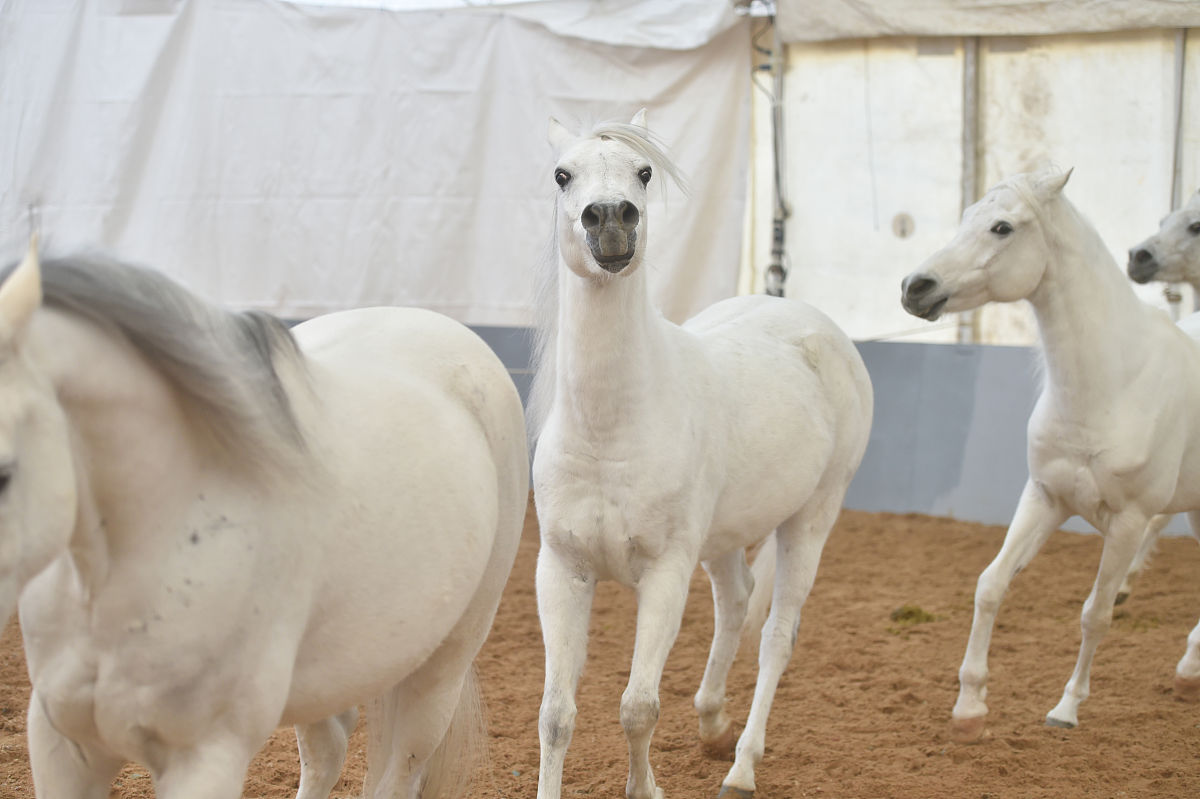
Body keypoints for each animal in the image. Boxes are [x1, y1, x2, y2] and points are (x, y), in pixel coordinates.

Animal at [1, 239, 528, 798]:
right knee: (329, 749)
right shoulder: (63, 744)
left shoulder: (207, 756)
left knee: (399, 772)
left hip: (440, 671)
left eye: (5, 472)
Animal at [529, 111, 873, 799]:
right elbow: (556, 714)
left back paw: (741, 766)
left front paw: (646, 789)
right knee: (737, 601)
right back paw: (712, 724)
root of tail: (818, 327)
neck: (610, 430)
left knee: (776, 636)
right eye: (561, 174)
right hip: (723, 538)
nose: (611, 219)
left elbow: (638, 707)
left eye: (643, 172)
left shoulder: (665, 574)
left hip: (811, 520)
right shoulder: (561, 570)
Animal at [899, 169, 1200, 744]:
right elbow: (991, 585)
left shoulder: (1127, 523)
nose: (914, 287)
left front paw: (1066, 708)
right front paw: (969, 708)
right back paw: (1188, 673)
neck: (1113, 385)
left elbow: (1095, 614)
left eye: (1002, 226)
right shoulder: (1044, 499)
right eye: (966, 217)